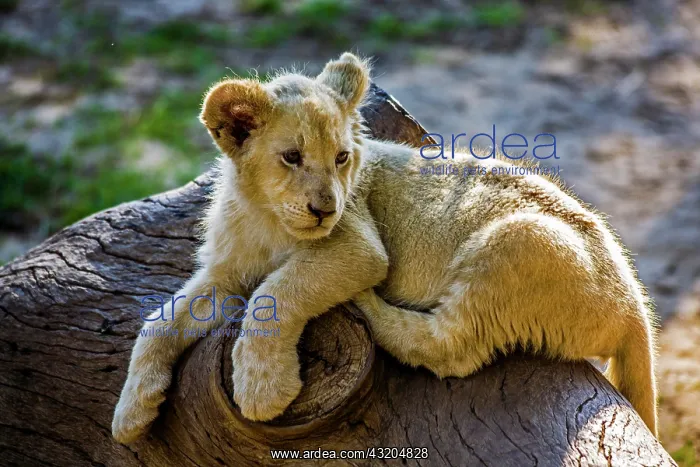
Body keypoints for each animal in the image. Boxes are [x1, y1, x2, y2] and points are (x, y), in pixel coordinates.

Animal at [112, 52, 658, 443]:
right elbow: (159, 322)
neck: (265, 216)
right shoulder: (225, 273)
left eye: (341, 158)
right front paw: (130, 415)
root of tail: (634, 303)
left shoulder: (359, 245)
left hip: (520, 240)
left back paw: (370, 307)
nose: (324, 209)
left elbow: (279, 288)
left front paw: (263, 388)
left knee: (450, 347)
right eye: (292, 157)